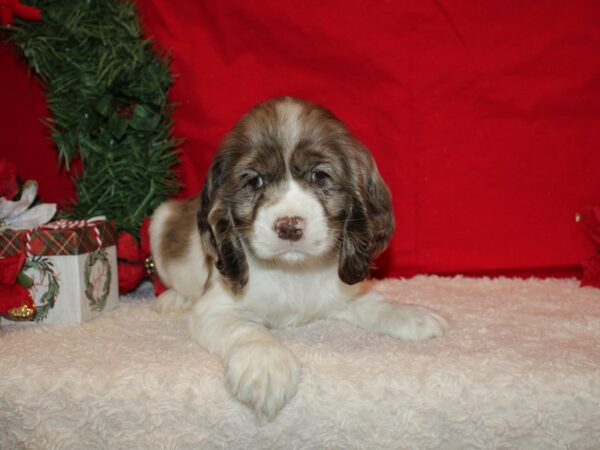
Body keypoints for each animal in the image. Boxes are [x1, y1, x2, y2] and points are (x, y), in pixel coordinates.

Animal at [150, 96, 450, 420]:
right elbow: (246, 329)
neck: (292, 270)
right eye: (254, 182)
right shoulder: (214, 309)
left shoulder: (340, 292)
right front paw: (265, 364)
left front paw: (411, 314)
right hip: (159, 220)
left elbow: (375, 305)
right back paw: (173, 299)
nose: (289, 226)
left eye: (319, 176)